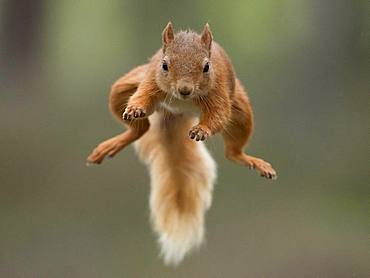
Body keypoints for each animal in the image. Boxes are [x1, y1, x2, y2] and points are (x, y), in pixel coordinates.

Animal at [88, 22, 276, 266]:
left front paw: (201, 129)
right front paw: (136, 108)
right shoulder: (150, 81)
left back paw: (250, 160)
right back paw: (113, 143)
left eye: (206, 67)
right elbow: (141, 97)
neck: (183, 100)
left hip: (241, 111)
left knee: (233, 152)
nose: (184, 90)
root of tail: (177, 113)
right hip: (123, 87)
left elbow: (218, 115)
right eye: (164, 65)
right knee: (140, 128)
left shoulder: (219, 92)